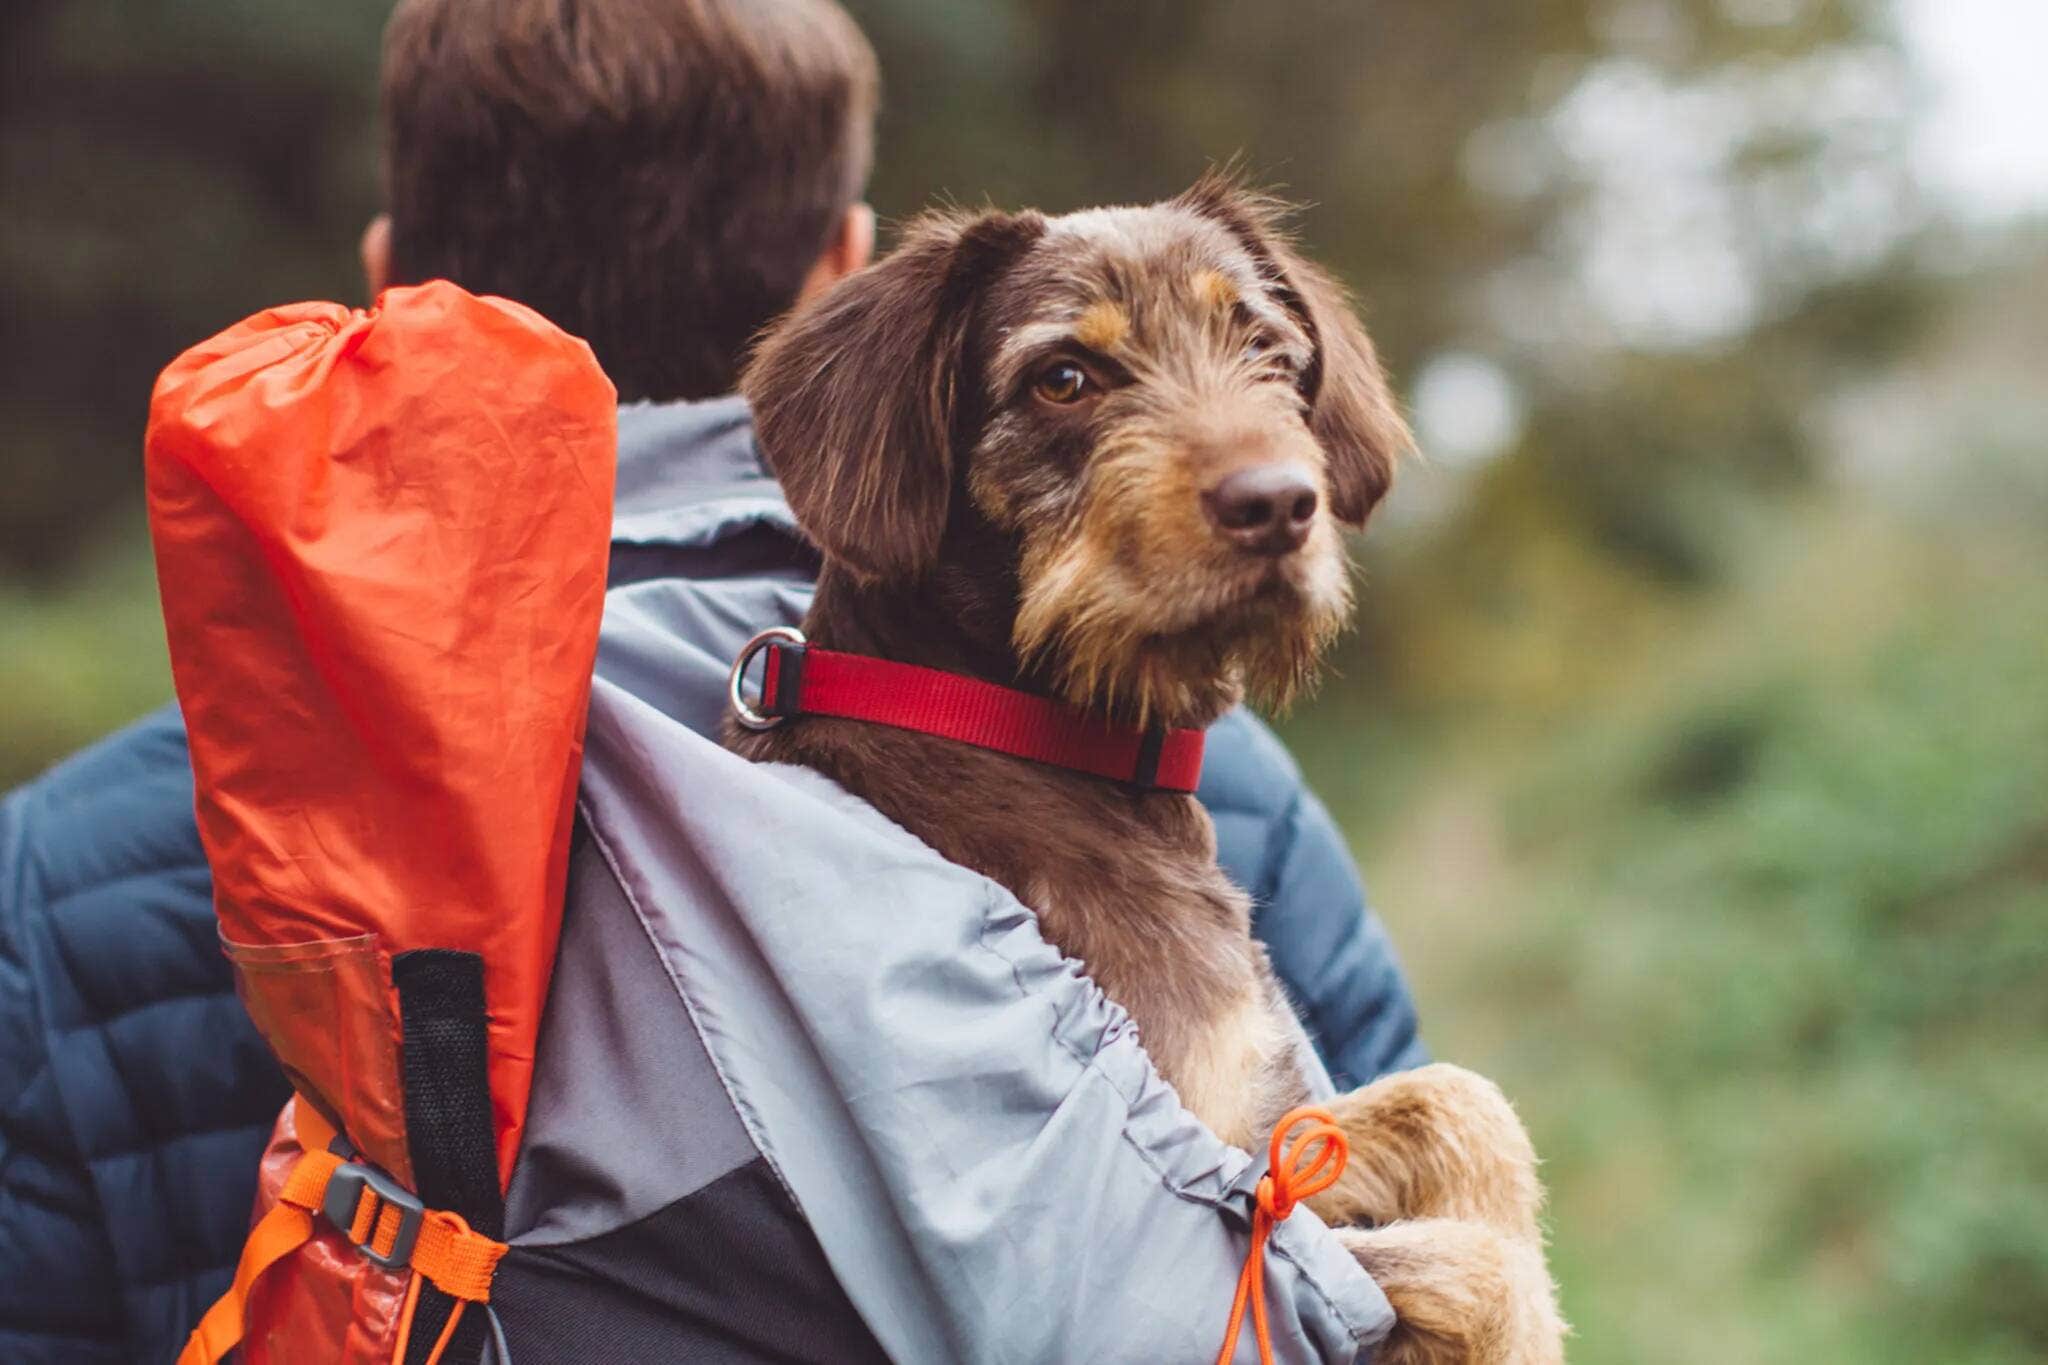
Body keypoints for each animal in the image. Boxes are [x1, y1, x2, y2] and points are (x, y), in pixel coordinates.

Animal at [729, 175, 1556, 1358]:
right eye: (1064, 378)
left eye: (1264, 347)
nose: (1276, 503)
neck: (1022, 729)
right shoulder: (1218, 1213)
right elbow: (1475, 1270)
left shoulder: (1270, 1131)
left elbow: (1459, 1102)